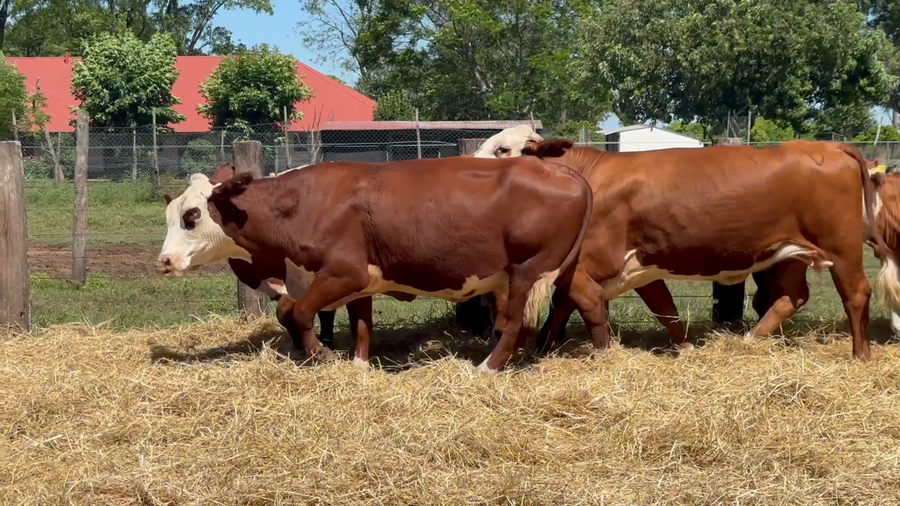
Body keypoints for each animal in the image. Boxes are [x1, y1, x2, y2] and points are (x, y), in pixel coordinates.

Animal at [158, 157, 593, 372]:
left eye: (192, 216)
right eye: (168, 215)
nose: (164, 261)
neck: (300, 204)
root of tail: (567, 172)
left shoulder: (341, 273)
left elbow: (297, 313)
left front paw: (324, 357)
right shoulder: (360, 280)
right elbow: (360, 325)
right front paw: (358, 365)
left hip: (527, 272)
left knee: (517, 324)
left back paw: (487, 367)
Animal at [515, 138, 889, 360]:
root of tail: (828, 145)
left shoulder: (587, 265)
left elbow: (585, 307)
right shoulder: (638, 267)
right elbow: (663, 308)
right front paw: (686, 347)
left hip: (840, 246)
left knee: (856, 292)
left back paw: (861, 355)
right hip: (791, 253)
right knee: (793, 295)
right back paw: (752, 337)